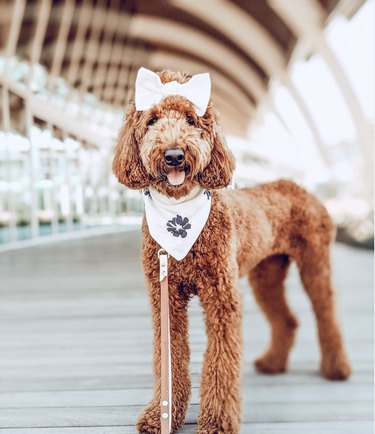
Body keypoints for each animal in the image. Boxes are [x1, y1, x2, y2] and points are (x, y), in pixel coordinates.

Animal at [112, 69, 352, 434]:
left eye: (191, 119)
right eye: (151, 120)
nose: (174, 155)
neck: (179, 213)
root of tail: (298, 187)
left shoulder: (221, 296)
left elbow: (221, 360)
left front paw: (217, 420)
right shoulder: (165, 296)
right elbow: (169, 355)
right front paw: (162, 414)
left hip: (315, 264)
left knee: (327, 316)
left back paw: (336, 368)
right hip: (267, 274)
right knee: (288, 320)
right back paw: (272, 363)